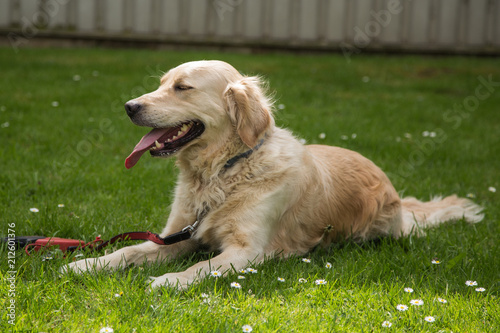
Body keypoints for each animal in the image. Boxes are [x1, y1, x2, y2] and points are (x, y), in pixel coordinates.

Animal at [63, 60, 484, 288]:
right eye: (162, 83)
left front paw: (167, 281)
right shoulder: (178, 235)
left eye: (182, 87)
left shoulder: (247, 250)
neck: (222, 173)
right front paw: (85, 264)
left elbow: (200, 266)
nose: (129, 106)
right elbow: (130, 250)